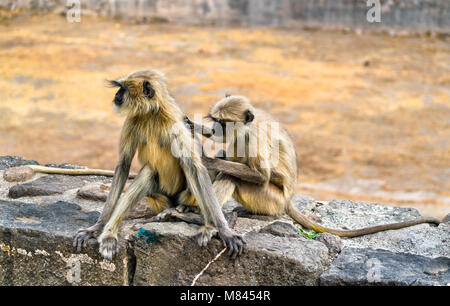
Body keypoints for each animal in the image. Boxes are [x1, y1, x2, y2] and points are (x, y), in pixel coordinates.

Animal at [71, 69, 244, 258]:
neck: (151, 114)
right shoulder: (132, 120)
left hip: (184, 195)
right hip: (158, 199)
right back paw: (110, 236)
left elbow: (195, 166)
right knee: (148, 171)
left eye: (123, 89)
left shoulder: (176, 122)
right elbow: (123, 164)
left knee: (187, 168)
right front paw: (97, 227)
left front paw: (223, 229)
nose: (116, 95)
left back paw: (205, 224)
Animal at [178, 95, 442, 237]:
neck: (251, 123)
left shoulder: (255, 136)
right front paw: (192, 125)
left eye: (224, 122)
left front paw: (208, 160)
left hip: (270, 198)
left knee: (235, 175)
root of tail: (287, 201)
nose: (217, 127)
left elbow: (261, 175)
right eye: (215, 121)